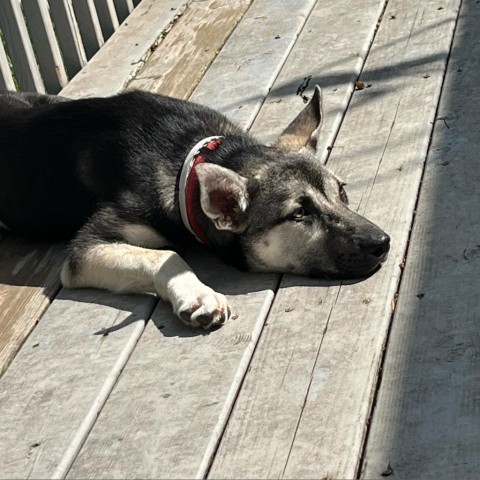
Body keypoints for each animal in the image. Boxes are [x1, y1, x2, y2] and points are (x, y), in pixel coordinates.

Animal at [0, 86, 390, 328]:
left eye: (342, 192)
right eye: (299, 214)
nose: (383, 243)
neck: (187, 162)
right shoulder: (85, 249)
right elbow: (166, 256)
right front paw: (198, 295)